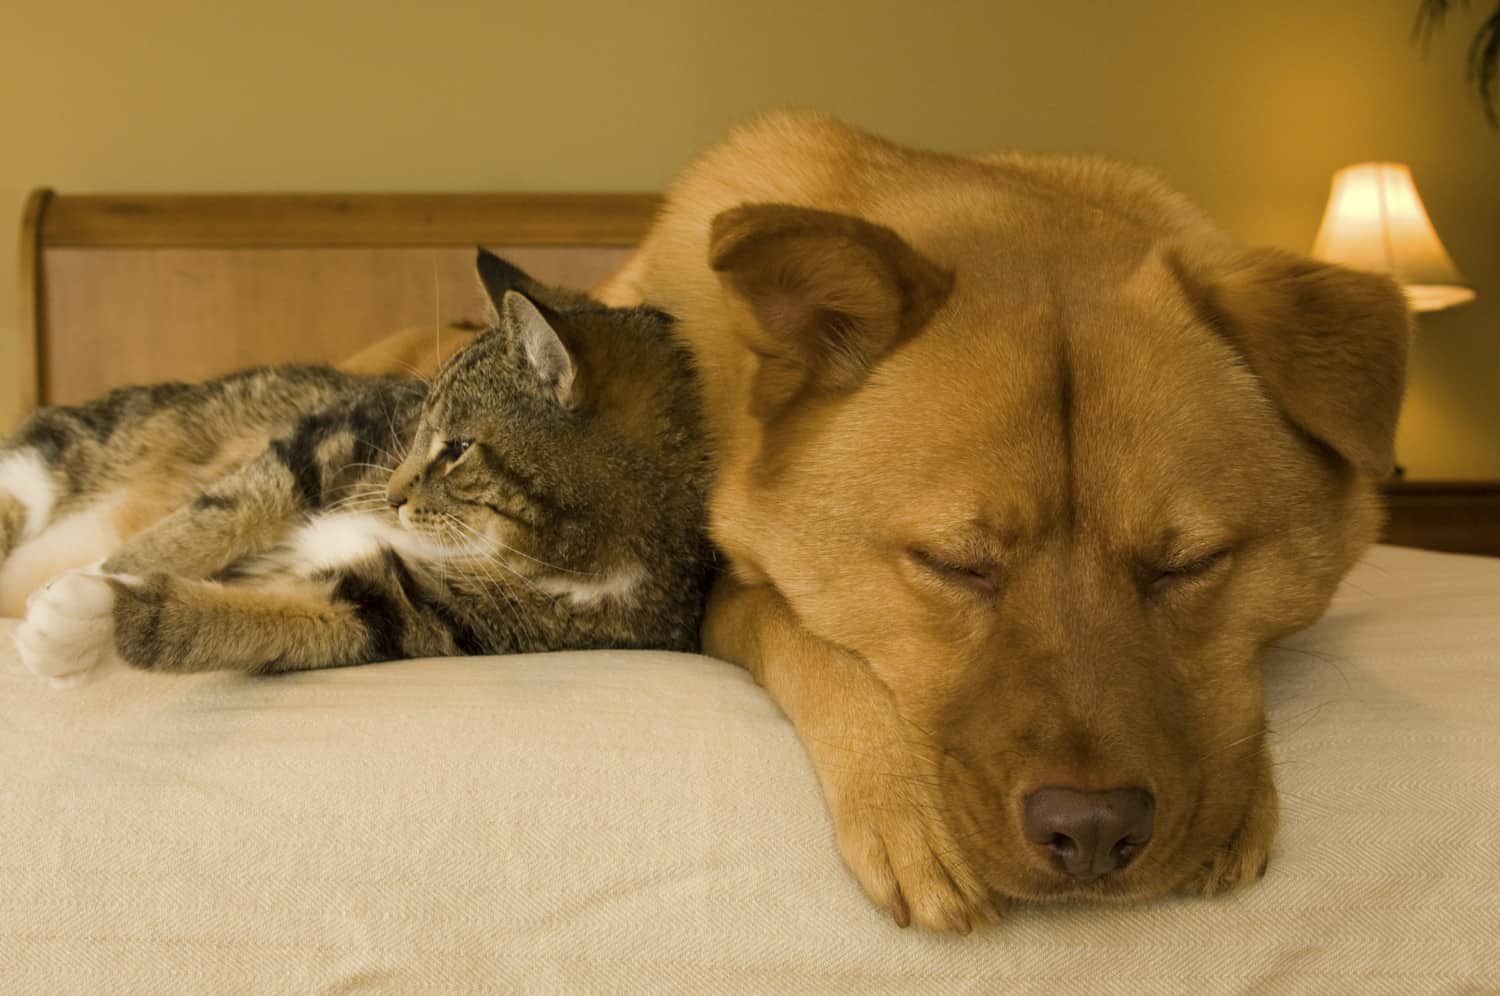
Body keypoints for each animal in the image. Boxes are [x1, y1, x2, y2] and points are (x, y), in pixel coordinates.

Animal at [0, 249, 714, 684]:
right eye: (418, 423)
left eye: (456, 448)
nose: (392, 495)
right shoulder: (331, 439)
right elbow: (210, 519)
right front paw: (94, 578)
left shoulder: (420, 614)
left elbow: (267, 618)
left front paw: (86, 616)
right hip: (54, 461)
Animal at [585, 117, 1404, 936]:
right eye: (953, 564)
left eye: (1190, 564)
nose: (1094, 830)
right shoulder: (713, 595)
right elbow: (798, 630)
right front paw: (903, 800)